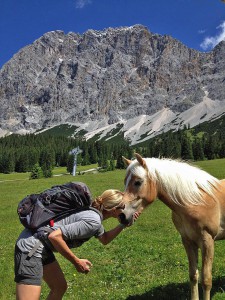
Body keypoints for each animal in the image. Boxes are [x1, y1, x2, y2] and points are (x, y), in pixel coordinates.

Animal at [121, 152, 225, 300]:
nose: (122, 215)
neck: (195, 202)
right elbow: (193, 275)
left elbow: (206, 280)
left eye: (138, 182)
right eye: (125, 182)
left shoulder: (207, 242)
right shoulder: (188, 241)